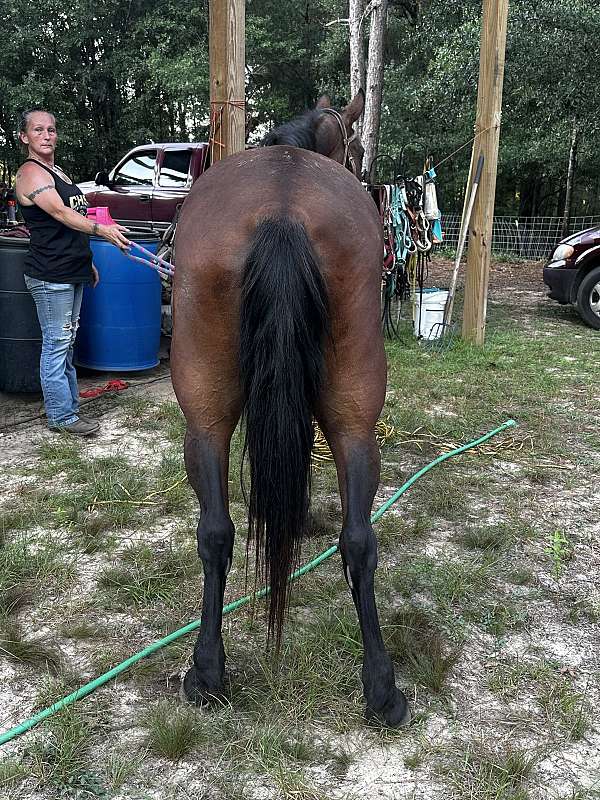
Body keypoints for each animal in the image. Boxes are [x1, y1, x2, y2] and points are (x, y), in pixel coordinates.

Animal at [171, 91, 410, 728]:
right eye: (352, 145)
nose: (367, 172)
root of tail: (282, 208)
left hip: (205, 416)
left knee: (219, 531)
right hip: (353, 419)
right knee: (355, 536)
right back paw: (380, 687)